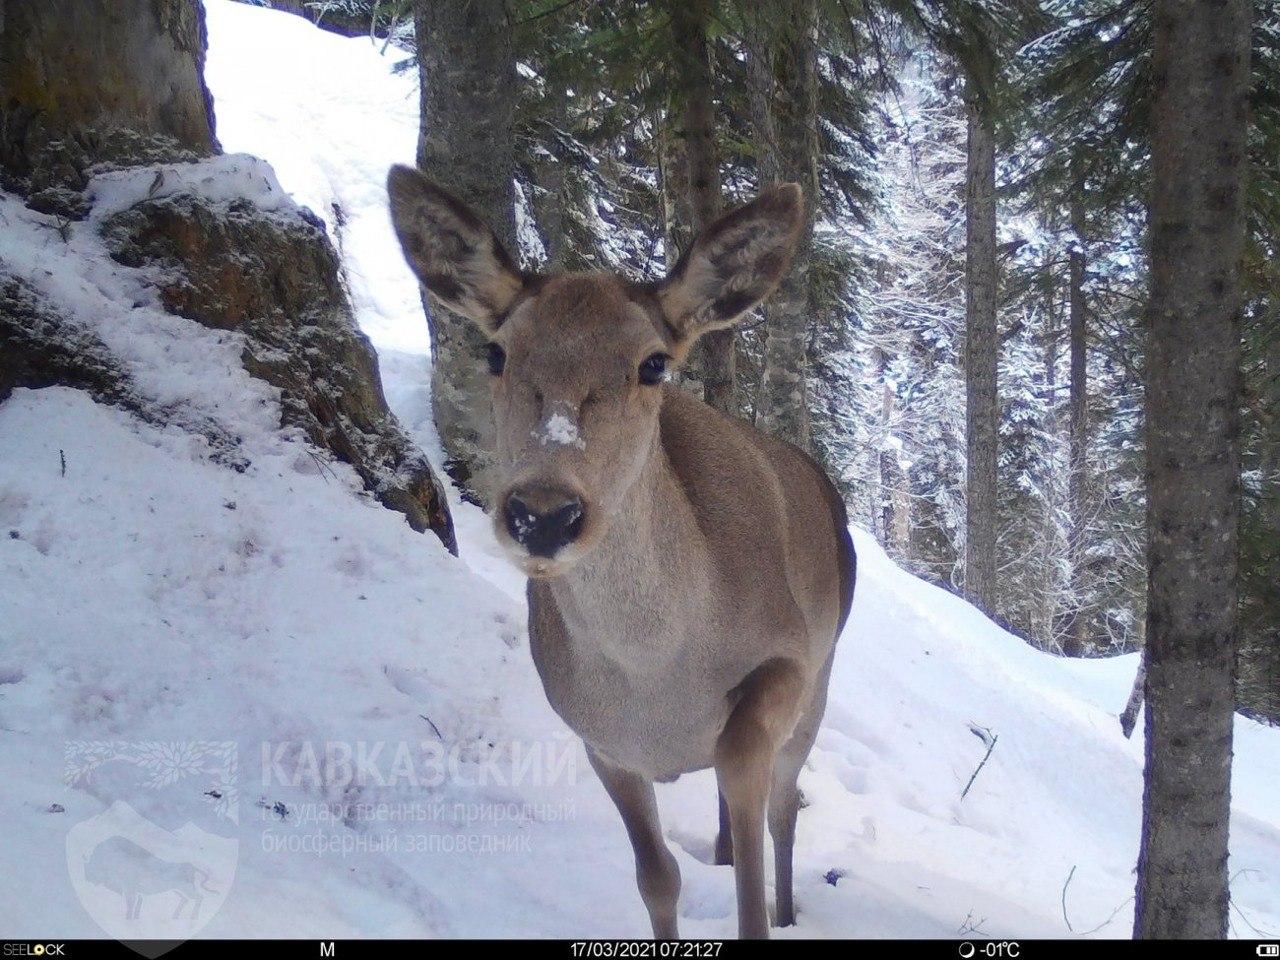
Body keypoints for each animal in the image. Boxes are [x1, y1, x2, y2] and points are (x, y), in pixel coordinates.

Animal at [384, 165, 855, 942]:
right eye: (496, 352)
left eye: (653, 363)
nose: (544, 513)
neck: (654, 679)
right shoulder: (598, 738)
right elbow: (656, 878)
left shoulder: (787, 656)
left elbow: (744, 793)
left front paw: (763, 906)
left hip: (824, 675)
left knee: (785, 807)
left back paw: (789, 906)